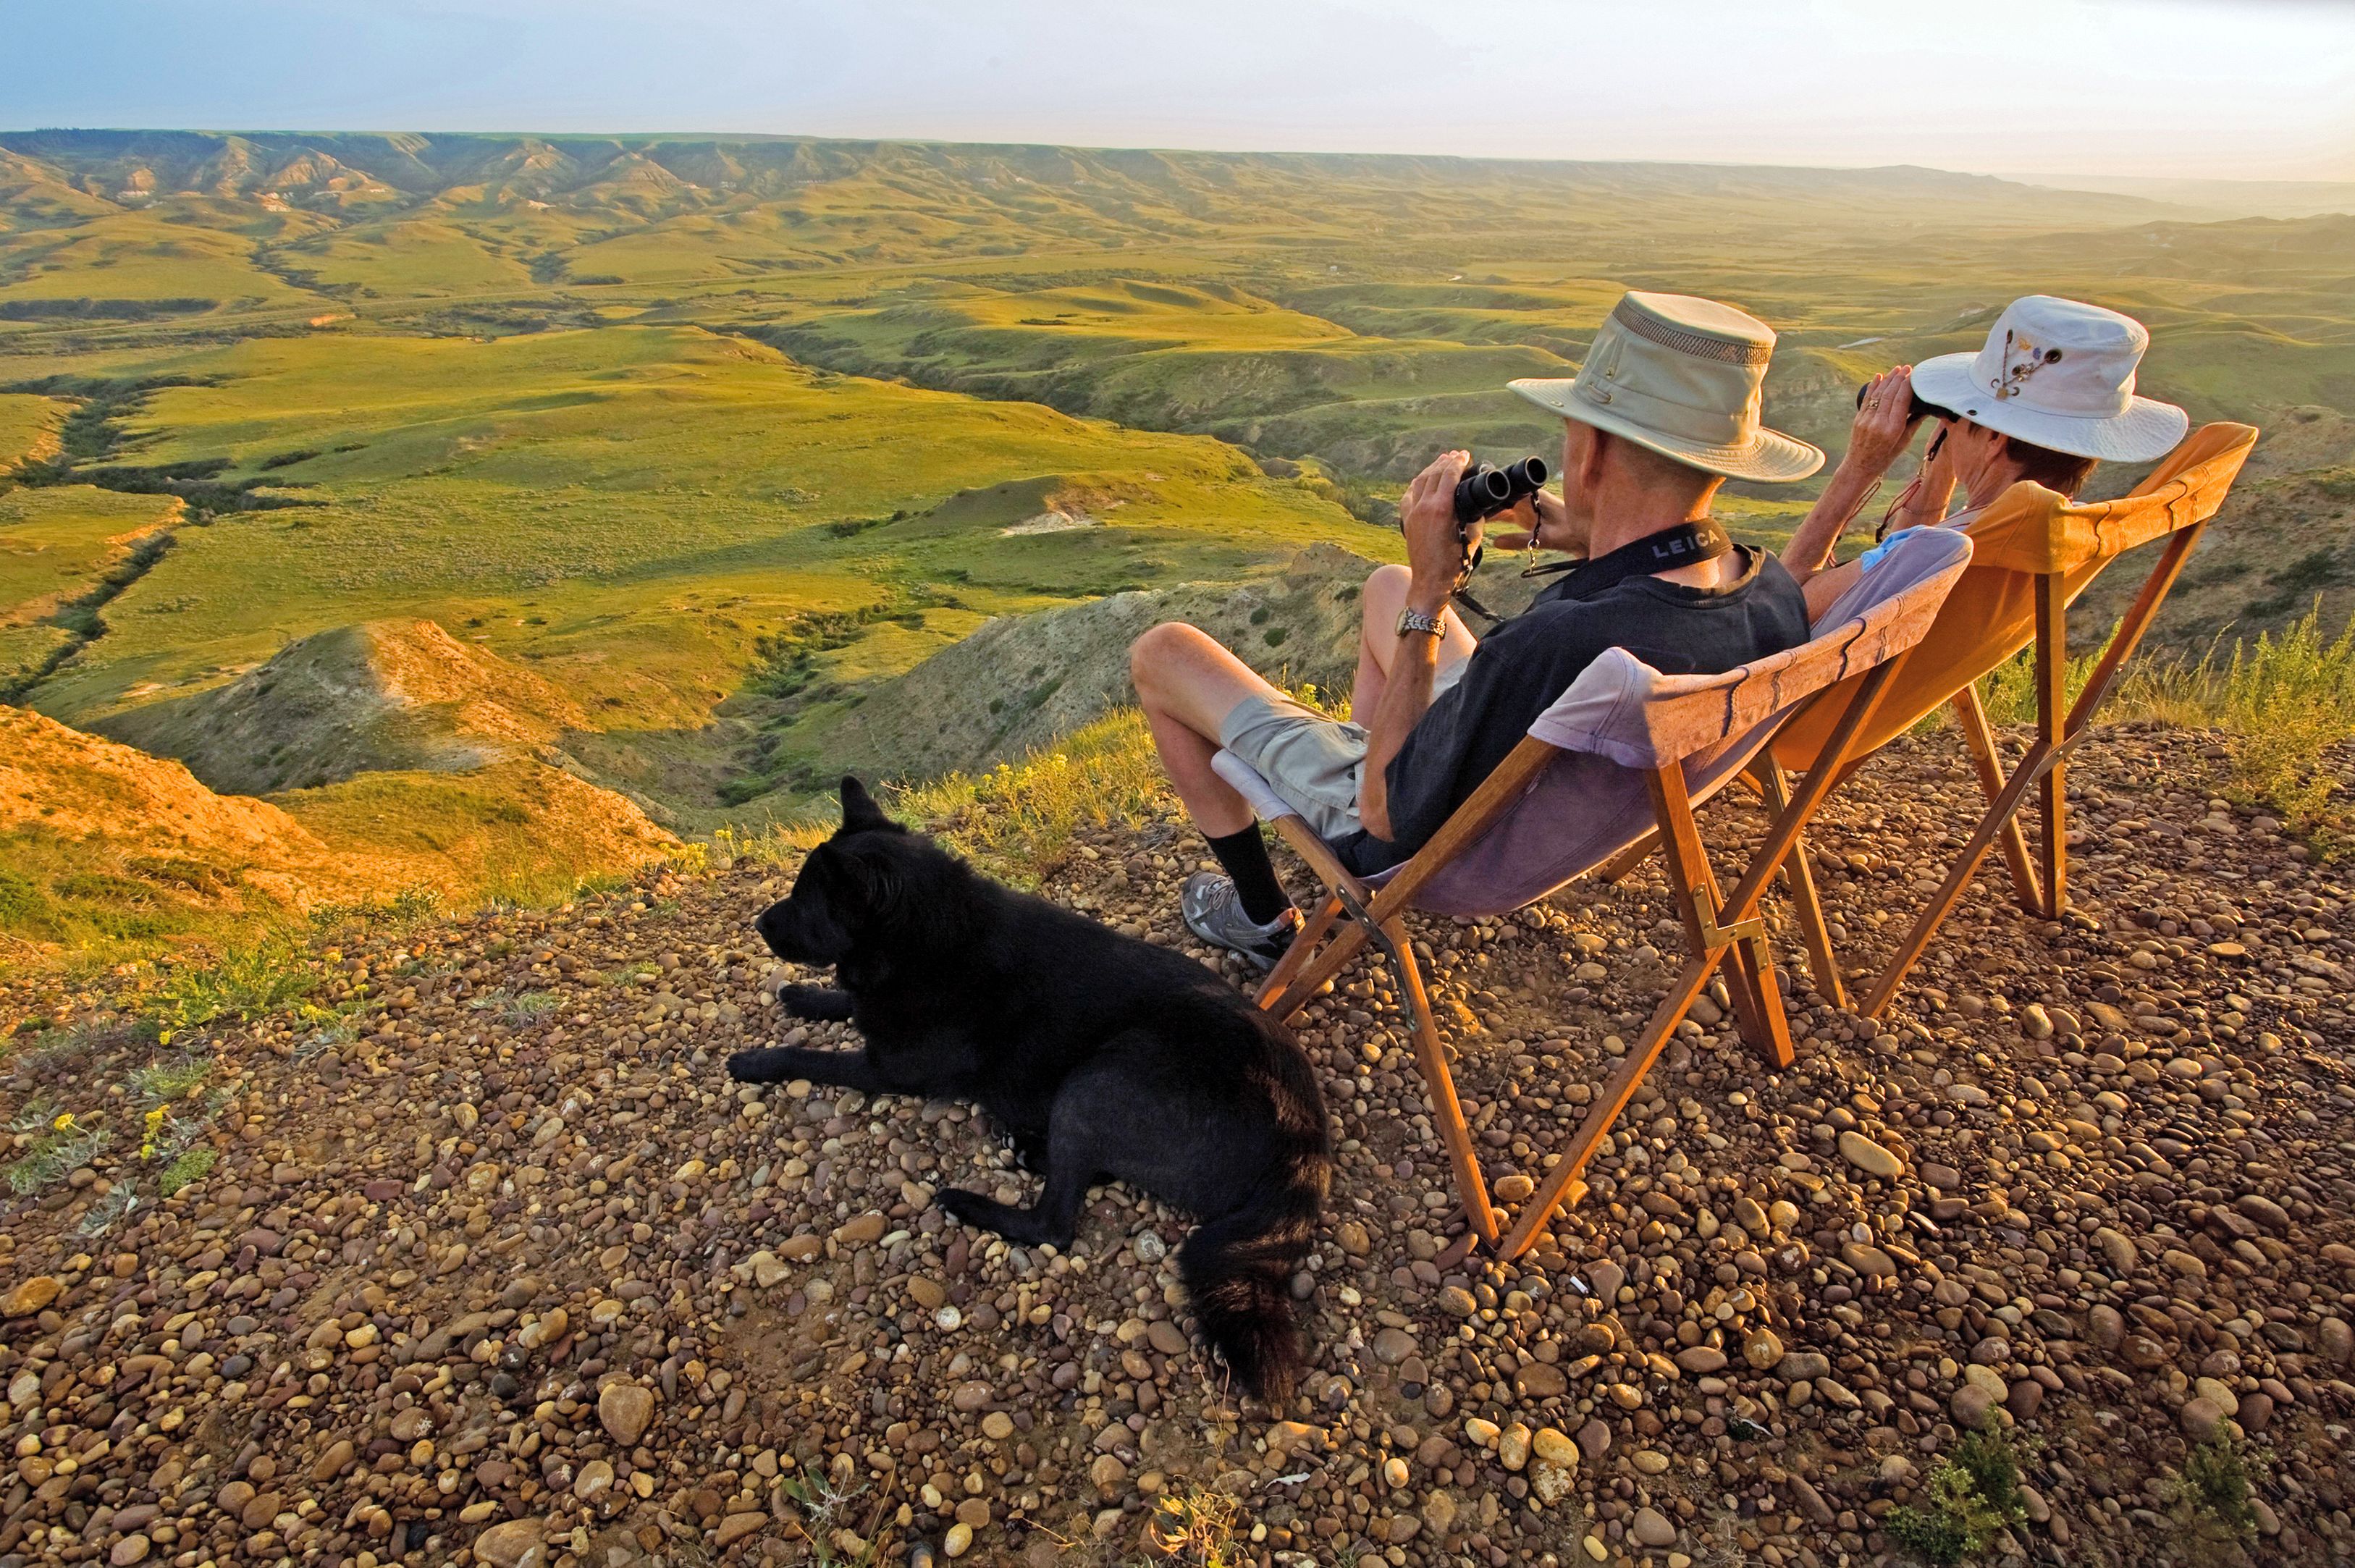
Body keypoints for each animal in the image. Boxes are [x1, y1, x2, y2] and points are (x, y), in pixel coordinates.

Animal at [725, 777, 1337, 1394]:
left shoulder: (887, 1067)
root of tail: (1303, 1143)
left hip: (1094, 1084)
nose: (757, 924)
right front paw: (804, 995)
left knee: (1054, 1225)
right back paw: (1025, 1149)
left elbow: (807, 1054)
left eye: (805, 901)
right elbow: (847, 1003)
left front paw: (755, 1059)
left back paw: (969, 1201)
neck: (930, 935)